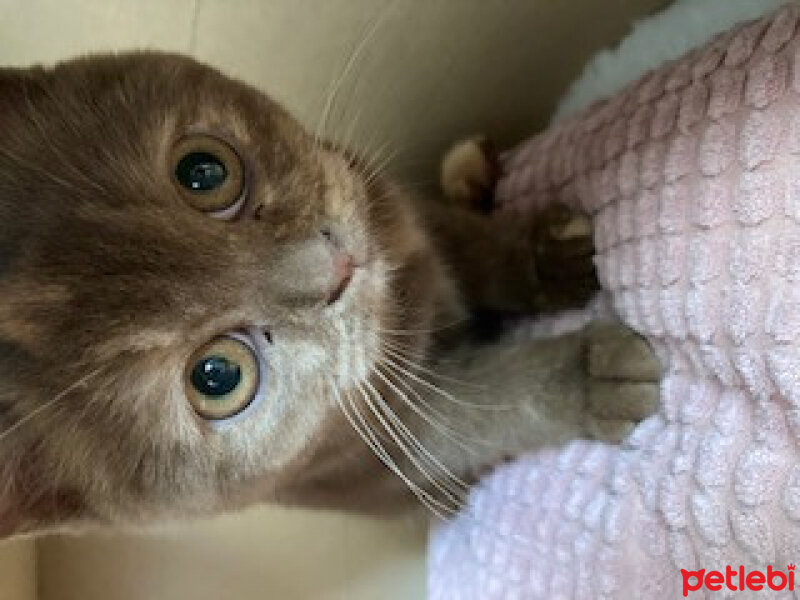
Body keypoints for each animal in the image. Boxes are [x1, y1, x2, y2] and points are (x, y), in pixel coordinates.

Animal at [0, 51, 656, 536]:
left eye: (204, 172)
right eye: (217, 375)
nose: (335, 267)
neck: (403, 303)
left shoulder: (386, 203)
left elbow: (470, 244)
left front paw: (546, 261)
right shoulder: (383, 449)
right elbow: (487, 406)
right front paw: (591, 374)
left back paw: (470, 170)